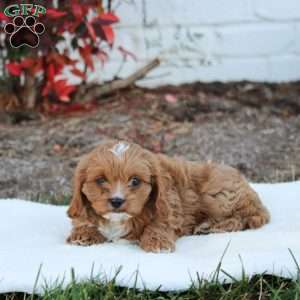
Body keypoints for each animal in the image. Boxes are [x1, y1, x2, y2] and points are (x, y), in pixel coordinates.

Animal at [66, 140, 270, 251]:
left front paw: (157, 243)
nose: (117, 201)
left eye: (135, 181)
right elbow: (83, 219)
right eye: (100, 180)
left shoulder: (169, 206)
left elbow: (159, 224)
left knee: (244, 217)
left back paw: (211, 226)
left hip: (218, 195)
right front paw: (83, 234)